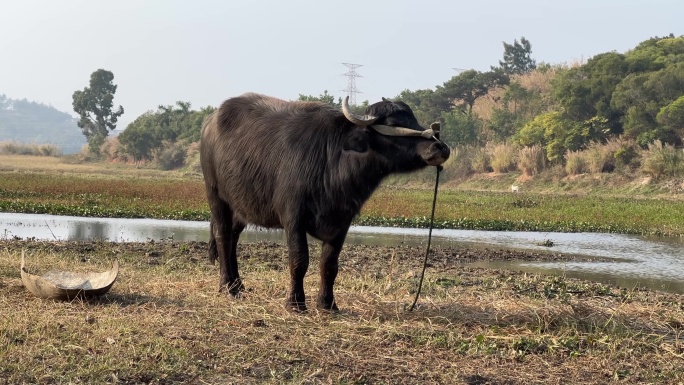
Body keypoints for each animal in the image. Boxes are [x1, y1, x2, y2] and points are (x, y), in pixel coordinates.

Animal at [200, 94, 452, 312]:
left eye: (413, 118)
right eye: (394, 123)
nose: (440, 147)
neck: (332, 162)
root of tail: (209, 122)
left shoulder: (342, 221)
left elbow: (329, 265)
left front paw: (327, 304)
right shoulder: (293, 218)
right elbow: (299, 260)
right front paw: (295, 303)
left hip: (241, 206)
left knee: (233, 239)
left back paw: (238, 285)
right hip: (216, 196)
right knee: (223, 236)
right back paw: (227, 287)